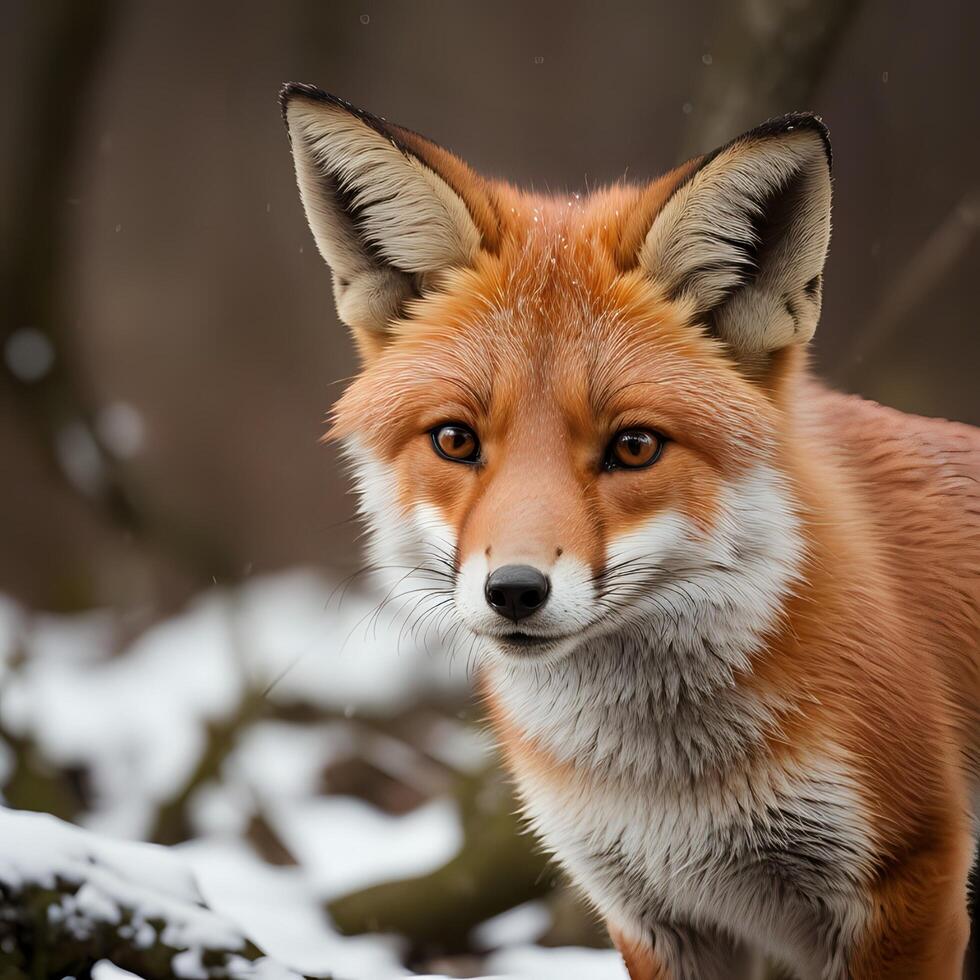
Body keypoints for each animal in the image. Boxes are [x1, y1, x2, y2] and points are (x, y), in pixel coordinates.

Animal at [280, 86, 976, 980]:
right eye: (456, 440)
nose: (514, 592)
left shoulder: (908, 876)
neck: (666, 786)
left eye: (634, 447)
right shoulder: (655, 916)